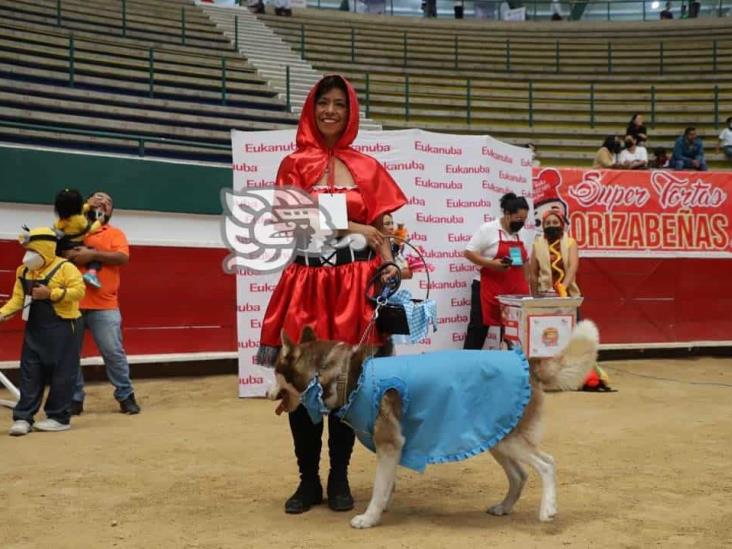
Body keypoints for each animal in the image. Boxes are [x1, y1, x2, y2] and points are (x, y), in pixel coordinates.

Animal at [268, 318, 600, 528]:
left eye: (274, 371)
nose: (268, 391)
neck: (344, 372)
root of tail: (527, 361)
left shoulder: (389, 444)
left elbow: (378, 487)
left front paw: (369, 518)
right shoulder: (392, 449)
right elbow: (387, 485)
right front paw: (383, 507)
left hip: (511, 439)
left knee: (547, 464)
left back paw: (548, 510)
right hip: (496, 436)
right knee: (520, 475)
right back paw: (504, 507)